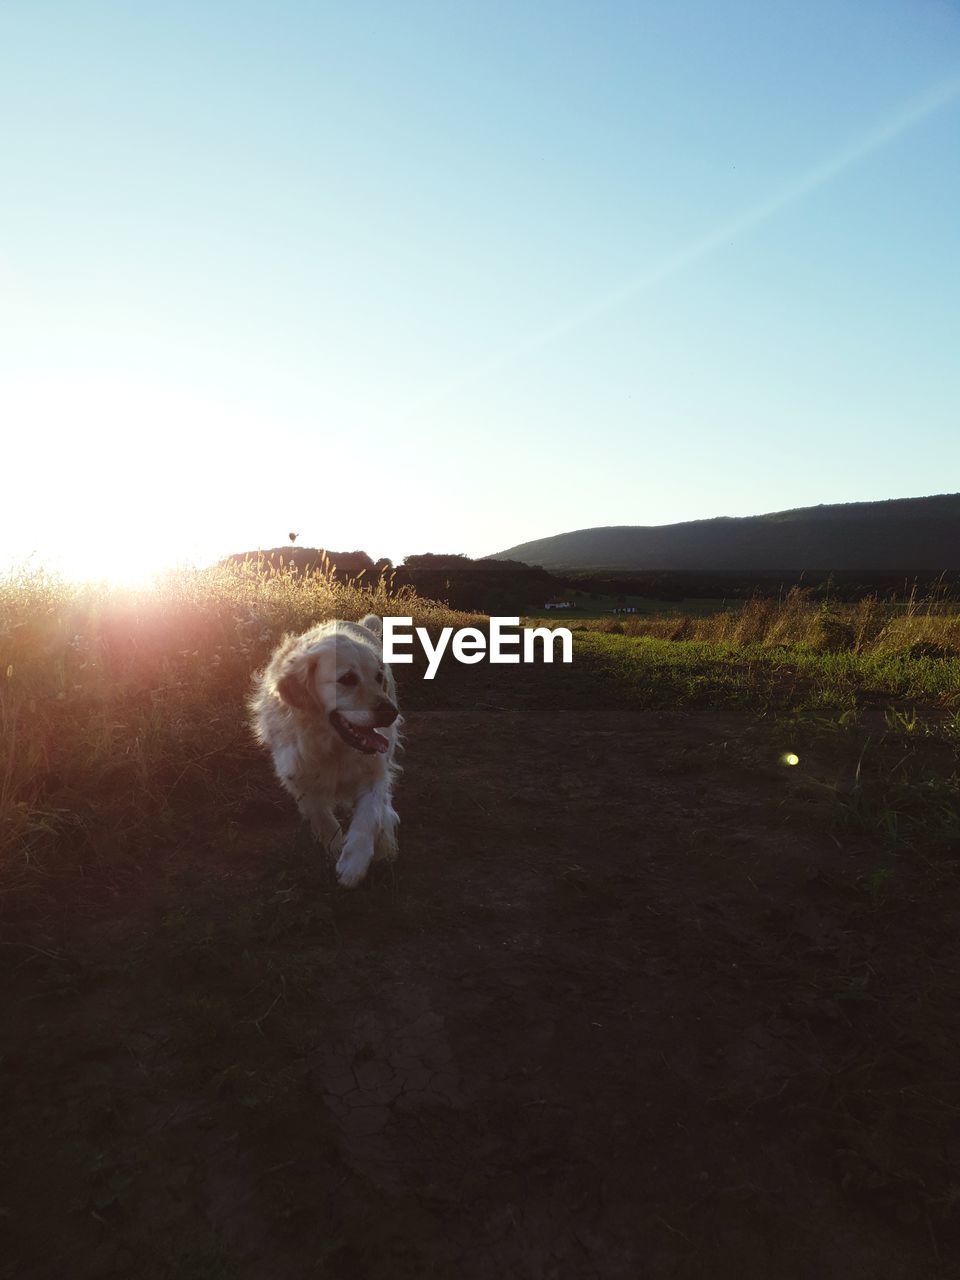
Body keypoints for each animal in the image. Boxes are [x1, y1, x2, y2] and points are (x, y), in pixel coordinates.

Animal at [252, 614, 401, 885]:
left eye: (378, 677)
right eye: (347, 679)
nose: (391, 712)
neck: (334, 746)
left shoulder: (375, 770)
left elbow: (370, 813)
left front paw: (355, 862)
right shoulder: (297, 777)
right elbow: (321, 816)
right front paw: (335, 846)